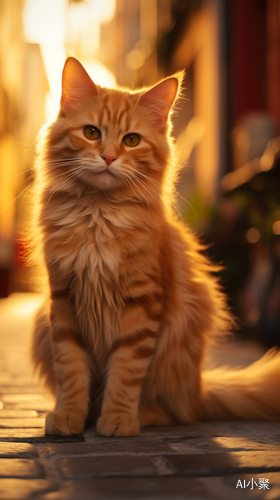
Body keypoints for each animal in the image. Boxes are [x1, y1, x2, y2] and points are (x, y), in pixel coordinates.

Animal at [31, 56, 280, 436]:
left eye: (132, 140)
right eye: (92, 133)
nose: (108, 157)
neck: (97, 216)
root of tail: (199, 388)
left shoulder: (142, 304)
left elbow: (125, 372)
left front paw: (118, 419)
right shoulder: (63, 301)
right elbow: (71, 370)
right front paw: (69, 415)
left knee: (181, 412)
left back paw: (143, 416)